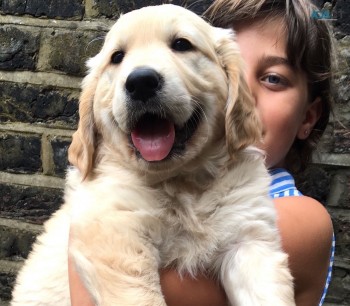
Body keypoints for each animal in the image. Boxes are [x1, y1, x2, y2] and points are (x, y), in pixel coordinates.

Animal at [10, 4, 296, 306]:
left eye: (181, 44)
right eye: (117, 57)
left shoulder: (250, 239)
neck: (181, 182)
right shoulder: (115, 231)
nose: (141, 82)